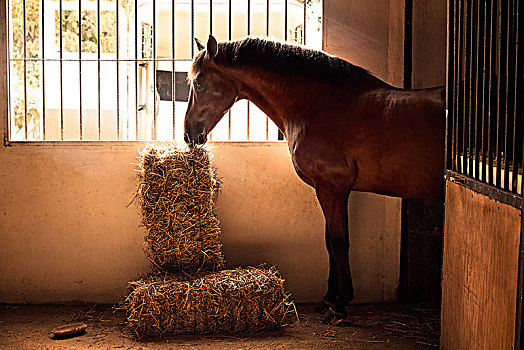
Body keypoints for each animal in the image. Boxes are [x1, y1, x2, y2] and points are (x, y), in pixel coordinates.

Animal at [184, 35, 446, 322]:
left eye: (199, 83)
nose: (188, 134)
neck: (318, 106)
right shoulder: (326, 190)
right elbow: (329, 242)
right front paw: (328, 299)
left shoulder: (333, 188)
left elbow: (339, 242)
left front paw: (339, 305)